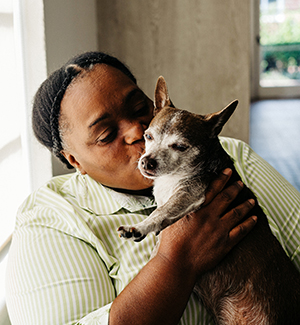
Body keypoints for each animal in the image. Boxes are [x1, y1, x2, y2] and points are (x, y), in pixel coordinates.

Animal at [118, 76, 300, 324]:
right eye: (148, 136)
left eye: (180, 147)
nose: (147, 161)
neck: (173, 177)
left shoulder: (190, 194)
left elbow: (161, 212)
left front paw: (140, 227)